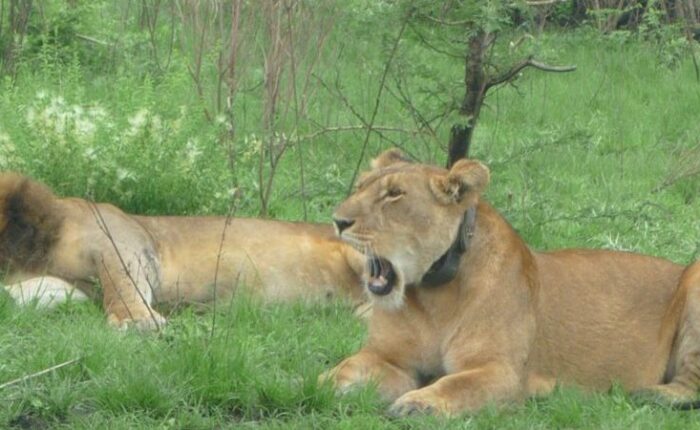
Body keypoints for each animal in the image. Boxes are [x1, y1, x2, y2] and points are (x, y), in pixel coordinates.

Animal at [321, 148, 700, 416]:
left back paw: (648, 394)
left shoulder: (501, 372)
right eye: (360, 187)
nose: (338, 221)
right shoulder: (389, 358)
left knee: (691, 386)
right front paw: (318, 383)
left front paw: (416, 404)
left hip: (694, 277)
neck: (433, 298)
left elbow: (456, 386)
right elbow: (347, 366)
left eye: (395, 194)